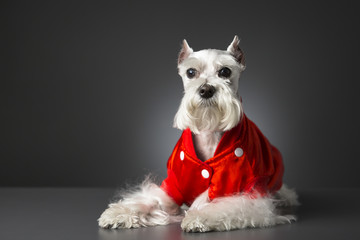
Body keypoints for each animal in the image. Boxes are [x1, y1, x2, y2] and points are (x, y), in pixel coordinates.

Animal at [98, 36, 298, 232]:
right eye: (191, 72)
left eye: (225, 71)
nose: (206, 90)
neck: (209, 132)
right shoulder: (172, 187)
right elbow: (151, 200)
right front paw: (119, 213)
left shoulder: (251, 193)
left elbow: (224, 206)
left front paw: (199, 216)